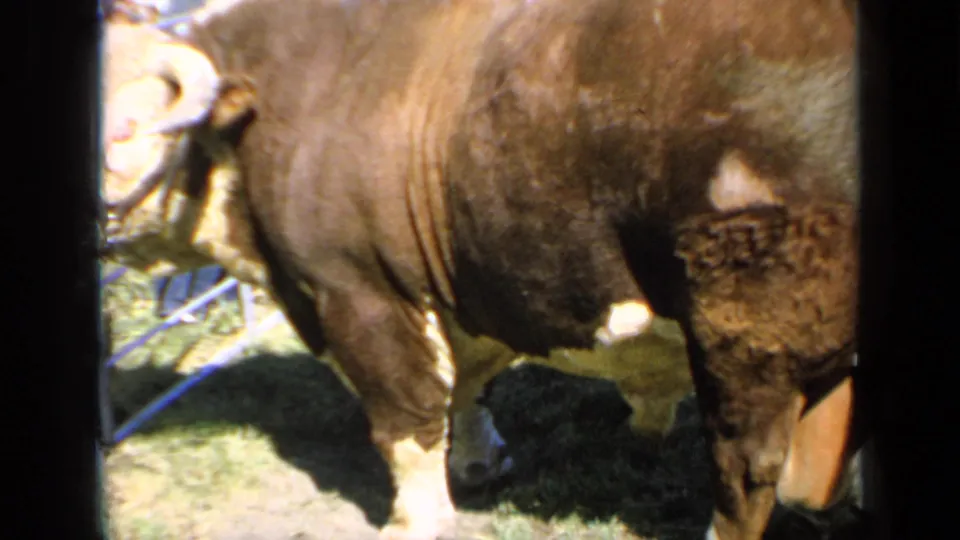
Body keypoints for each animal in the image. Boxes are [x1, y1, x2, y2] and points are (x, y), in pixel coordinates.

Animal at [98, 0, 863, 539]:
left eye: (122, 128)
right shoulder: (466, 285)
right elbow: (466, 385)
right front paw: (477, 462)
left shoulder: (357, 292)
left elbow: (404, 419)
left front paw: (415, 521)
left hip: (748, 335)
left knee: (746, 472)